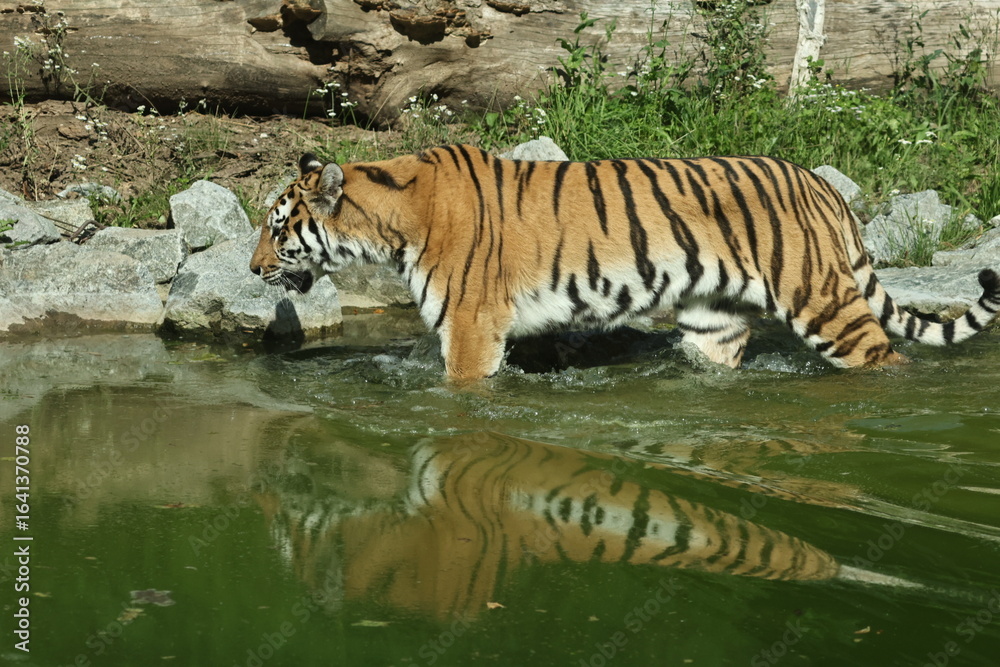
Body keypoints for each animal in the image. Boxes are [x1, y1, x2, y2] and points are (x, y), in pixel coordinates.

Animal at [250, 146, 1000, 379]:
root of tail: (820, 184)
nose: (253, 269)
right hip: (712, 321)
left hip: (826, 303)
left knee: (885, 359)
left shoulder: (471, 326)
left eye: (276, 225)